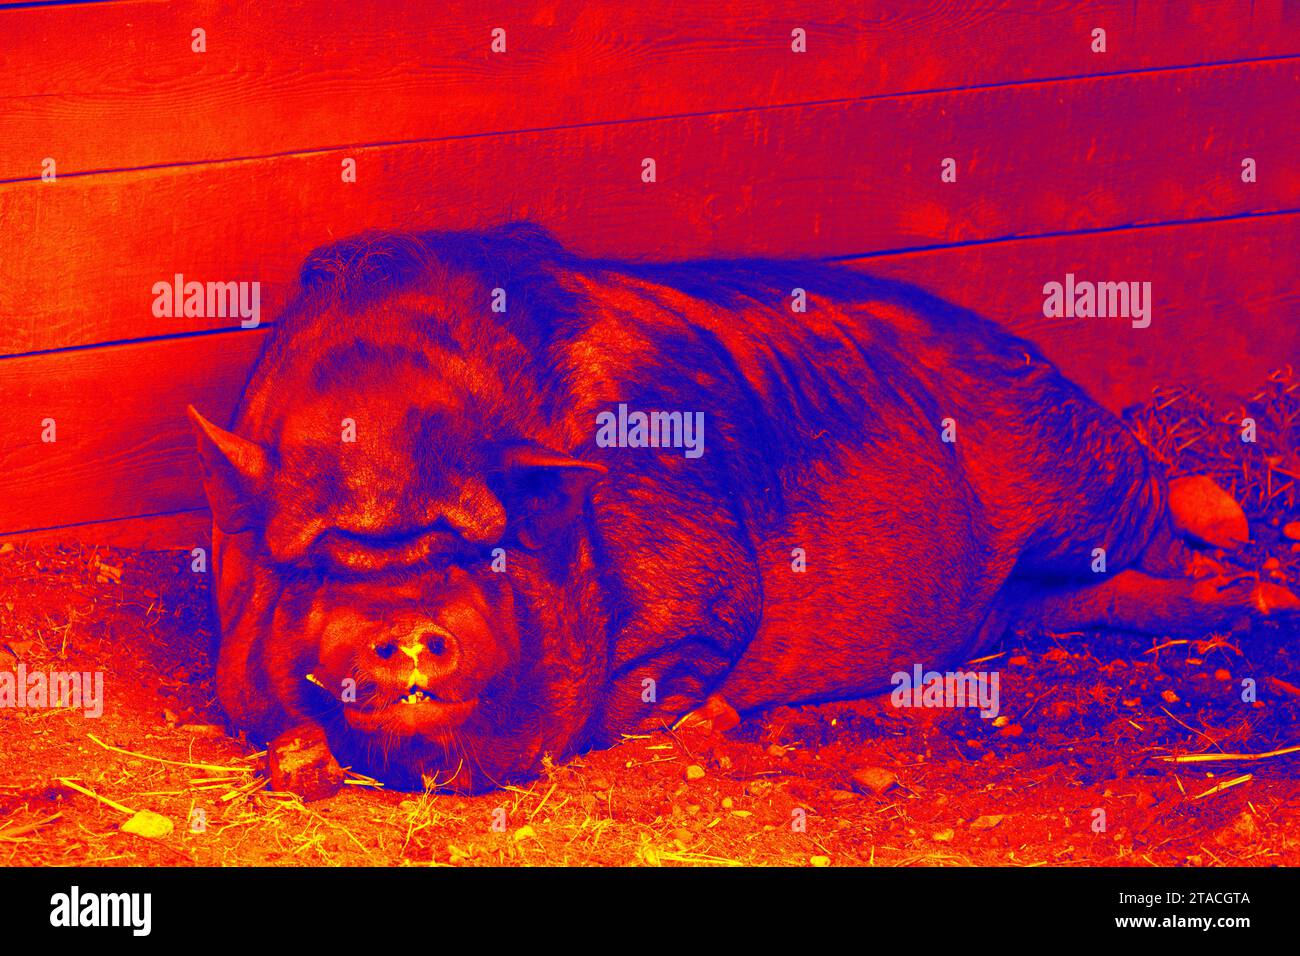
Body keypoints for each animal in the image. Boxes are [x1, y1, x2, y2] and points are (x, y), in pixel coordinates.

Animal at [187, 222, 1298, 791]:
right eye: (314, 564)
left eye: (482, 553)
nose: (405, 627)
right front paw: (298, 756)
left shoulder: (708, 565)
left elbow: (661, 671)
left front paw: (703, 720)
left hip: (1075, 465)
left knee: (1167, 507)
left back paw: (1260, 587)